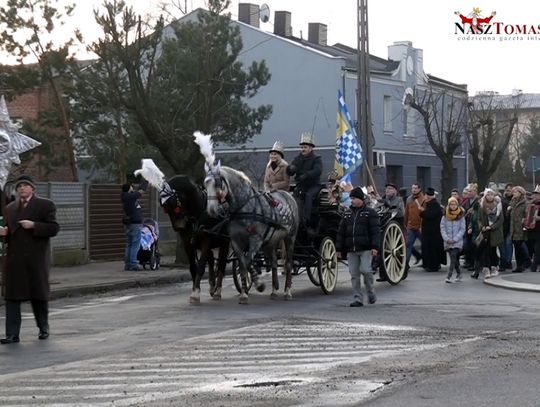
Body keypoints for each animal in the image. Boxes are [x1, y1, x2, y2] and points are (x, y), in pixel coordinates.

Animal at [160, 174, 228, 304]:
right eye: (164, 208)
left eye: (173, 203)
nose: (178, 227)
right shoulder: (187, 242)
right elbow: (193, 267)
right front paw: (195, 290)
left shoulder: (206, 241)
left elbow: (201, 266)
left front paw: (195, 294)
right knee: (211, 259)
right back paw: (212, 286)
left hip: (226, 242)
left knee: (222, 263)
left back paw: (218, 290)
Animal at [206, 166, 300, 302]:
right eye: (205, 184)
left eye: (217, 183)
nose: (211, 210)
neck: (243, 207)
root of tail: (288, 195)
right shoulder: (236, 242)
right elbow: (242, 265)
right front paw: (244, 294)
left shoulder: (256, 240)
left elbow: (247, 262)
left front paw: (259, 285)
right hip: (270, 241)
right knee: (274, 262)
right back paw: (274, 290)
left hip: (290, 237)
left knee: (288, 263)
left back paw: (287, 292)